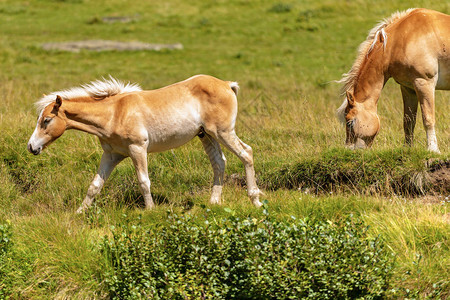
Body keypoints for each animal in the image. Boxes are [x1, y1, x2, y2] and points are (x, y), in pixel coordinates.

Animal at [26, 74, 262, 213]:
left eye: (46, 120)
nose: (31, 147)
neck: (115, 113)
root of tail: (227, 85)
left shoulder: (137, 149)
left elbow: (143, 181)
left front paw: (150, 210)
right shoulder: (111, 155)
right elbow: (95, 185)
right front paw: (79, 213)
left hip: (223, 132)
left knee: (246, 153)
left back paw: (255, 200)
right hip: (207, 135)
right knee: (219, 162)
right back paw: (214, 203)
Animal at [338, 8, 450, 154]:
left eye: (349, 122)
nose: (349, 150)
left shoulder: (424, 83)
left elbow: (428, 119)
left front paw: (433, 150)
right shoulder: (408, 88)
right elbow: (408, 121)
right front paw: (407, 148)